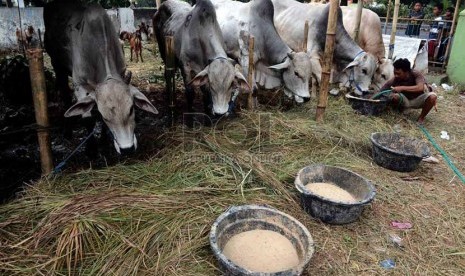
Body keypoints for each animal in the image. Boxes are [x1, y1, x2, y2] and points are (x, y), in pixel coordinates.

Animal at [44, 0, 159, 154]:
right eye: (105, 116)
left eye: (131, 109)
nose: (127, 149)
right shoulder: (79, 84)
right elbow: (88, 119)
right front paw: (91, 149)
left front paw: (104, 141)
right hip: (57, 65)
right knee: (65, 97)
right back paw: (67, 130)